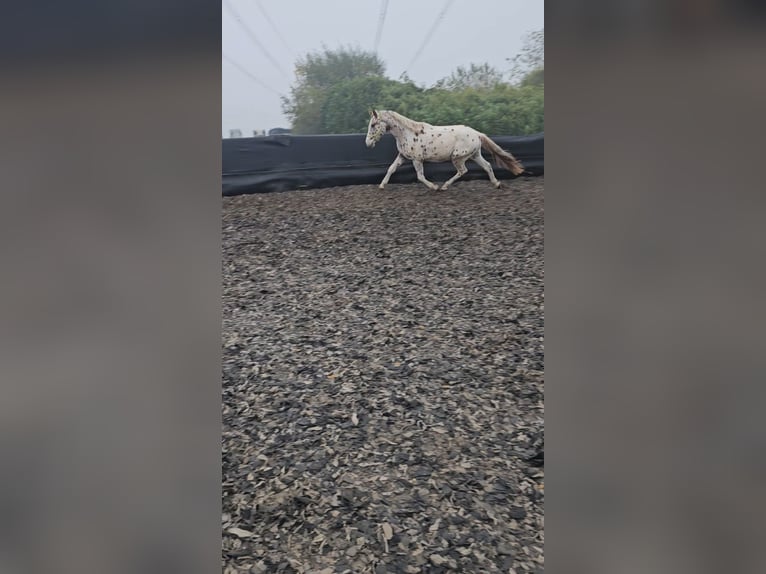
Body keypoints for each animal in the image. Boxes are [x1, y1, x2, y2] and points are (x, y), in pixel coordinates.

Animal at [364, 110, 520, 194]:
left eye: (373, 125)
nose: (367, 143)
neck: (407, 133)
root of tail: (477, 134)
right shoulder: (402, 156)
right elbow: (391, 169)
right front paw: (382, 185)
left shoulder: (417, 159)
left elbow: (420, 176)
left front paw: (434, 187)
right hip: (475, 155)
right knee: (487, 166)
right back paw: (497, 184)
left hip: (458, 157)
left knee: (463, 171)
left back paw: (444, 186)